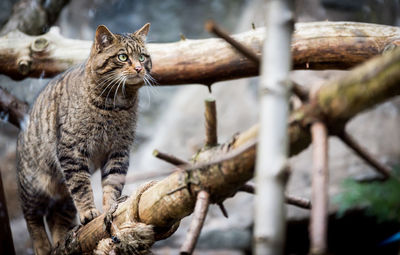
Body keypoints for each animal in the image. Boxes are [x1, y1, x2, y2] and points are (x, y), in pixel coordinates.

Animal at [16, 22, 152, 254]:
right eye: (123, 57)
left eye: (142, 57)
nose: (138, 68)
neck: (116, 105)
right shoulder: (72, 150)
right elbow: (81, 186)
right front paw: (89, 211)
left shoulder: (118, 151)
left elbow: (112, 183)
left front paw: (110, 207)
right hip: (32, 186)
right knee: (32, 218)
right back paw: (42, 246)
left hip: (62, 199)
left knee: (57, 219)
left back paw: (60, 240)